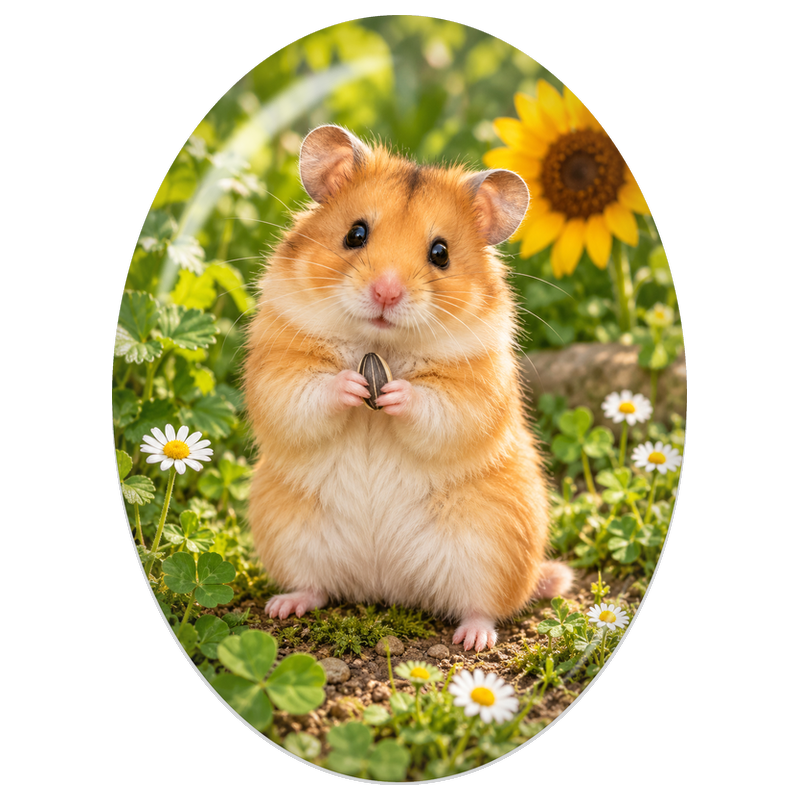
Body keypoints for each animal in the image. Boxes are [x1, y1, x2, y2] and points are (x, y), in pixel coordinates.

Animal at [244, 124, 572, 652]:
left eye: (440, 253)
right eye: (355, 233)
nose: (386, 292)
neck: (382, 344)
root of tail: (386, 586)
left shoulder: (474, 392)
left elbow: (437, 406)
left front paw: (394, 393)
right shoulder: (277, 371)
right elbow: (306, 393)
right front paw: (353, 384)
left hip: (491, 549)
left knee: (485, 607)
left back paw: (474, 639)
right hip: (289, 533)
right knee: (315, 586)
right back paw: (283, 606)